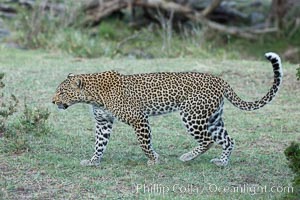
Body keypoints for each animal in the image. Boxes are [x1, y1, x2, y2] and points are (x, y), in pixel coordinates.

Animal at [52, 52, 284, 167]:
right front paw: (93, 161)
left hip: (192, 115)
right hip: (213, 118)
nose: (53, 102)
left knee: (208, 140)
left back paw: (187, 157)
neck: (93, 96)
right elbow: (99, 144)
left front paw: (154, 159)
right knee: (228, 140)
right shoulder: (103, 122)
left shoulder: (139, 119)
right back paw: (222, 163)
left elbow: (144, 144)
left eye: (61, 92)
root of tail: (219, 79)